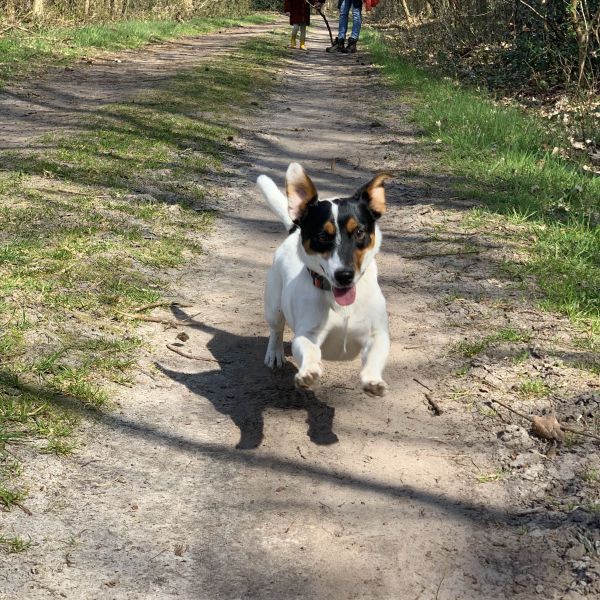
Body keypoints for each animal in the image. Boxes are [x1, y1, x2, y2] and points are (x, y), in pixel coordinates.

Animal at [255, 165, 392, 398]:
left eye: (359, 232)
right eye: (322, 236)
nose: (344, 275)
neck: (341, 305)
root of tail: (294, 230)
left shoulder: (377, 334)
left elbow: (375, 355)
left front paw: (373, 380)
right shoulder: (307, 333)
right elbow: (309, 349)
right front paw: (309, 370)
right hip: (274, 305)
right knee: (276, 330)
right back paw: (275, 353)